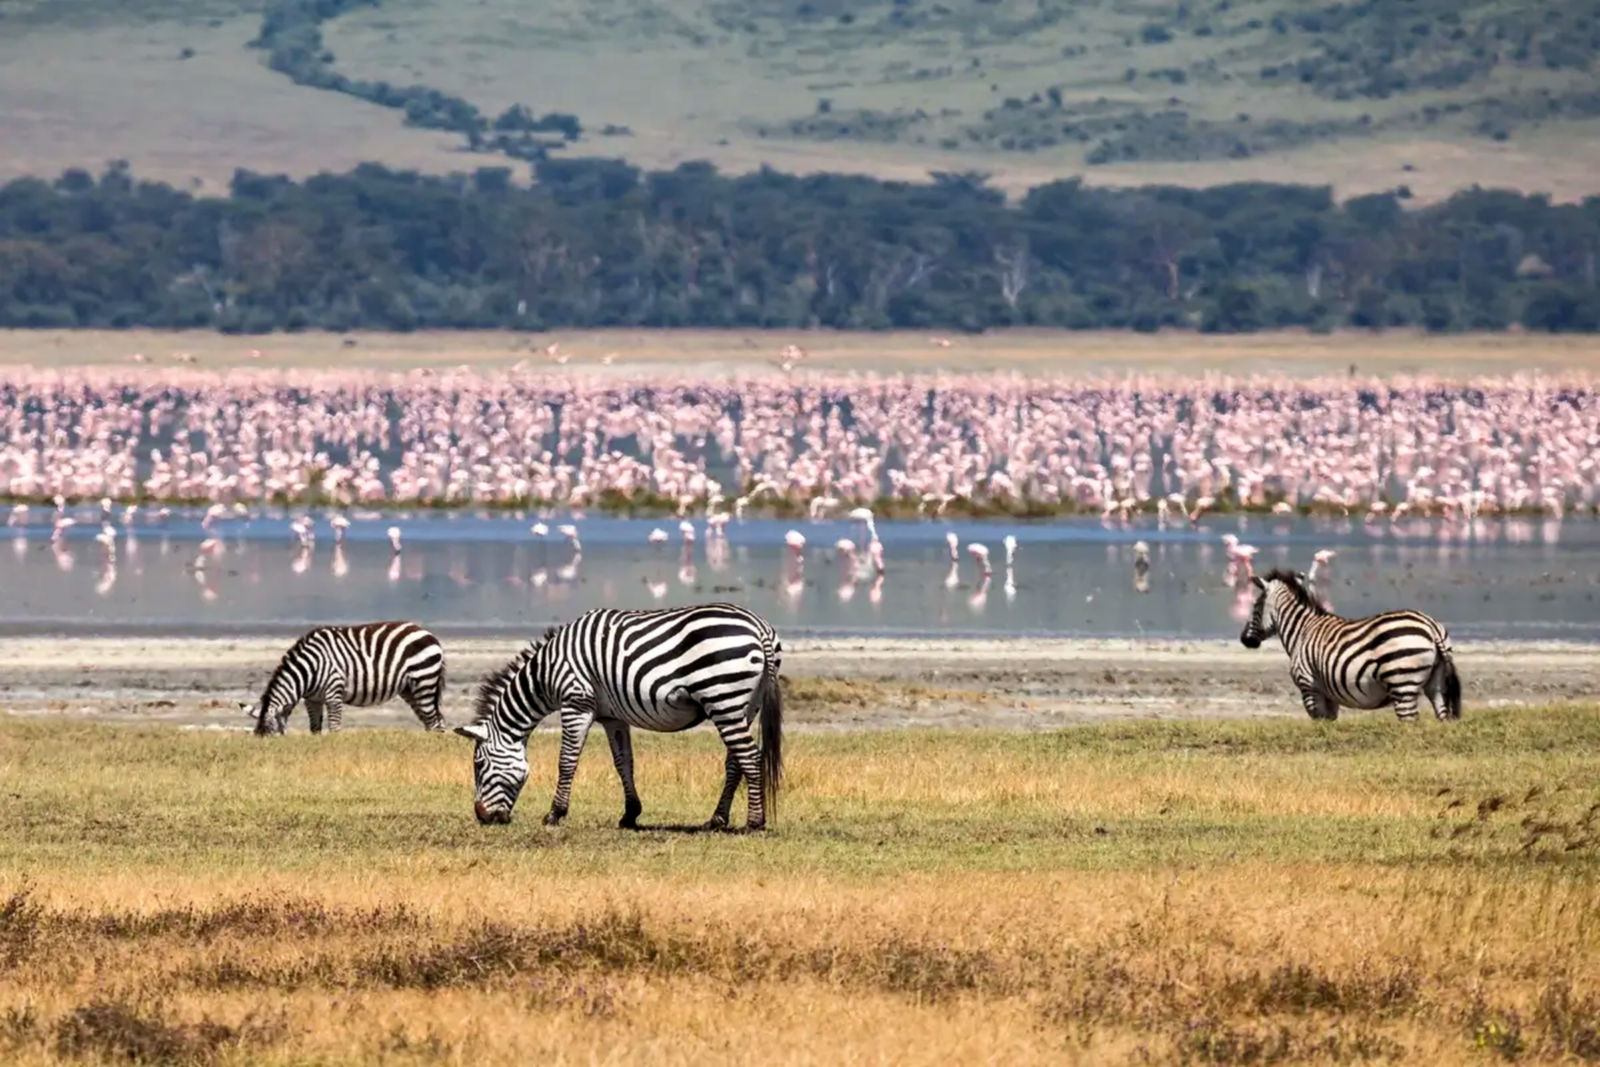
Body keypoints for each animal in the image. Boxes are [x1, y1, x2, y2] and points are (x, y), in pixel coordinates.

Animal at [242, 621, 447, 735]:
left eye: (272, 736)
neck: (309, 669)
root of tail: (428, 633)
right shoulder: (312, 699)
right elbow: (315, 729)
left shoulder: (334, 693)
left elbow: (334, 728)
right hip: (409, 689)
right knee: (433, 721)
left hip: (424, 681)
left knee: (434, 722)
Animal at [453, 603, 784, 831]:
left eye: (479, 764)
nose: (483, 817)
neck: (547, 672)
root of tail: (759, 627)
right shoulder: (613, 717)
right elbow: (624, 762)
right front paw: (630, 814)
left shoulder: (576, 703)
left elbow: (567, 760)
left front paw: (555, 814)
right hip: (744, 706)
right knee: (735, 761)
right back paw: (716, 819)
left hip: (722, 697)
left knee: (750, 757)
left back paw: (755, 822)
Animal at [1240, 568, 1461, 723]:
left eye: (1255, 606)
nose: (1244, 639)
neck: (1302, 631)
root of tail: (1431, 626)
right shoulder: (1329, 695)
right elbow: (1329, 724)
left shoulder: (1309, 687)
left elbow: (1318, 724)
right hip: (1436, 683)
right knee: (1442, 715)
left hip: (1402, 682)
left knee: (1410, 721)